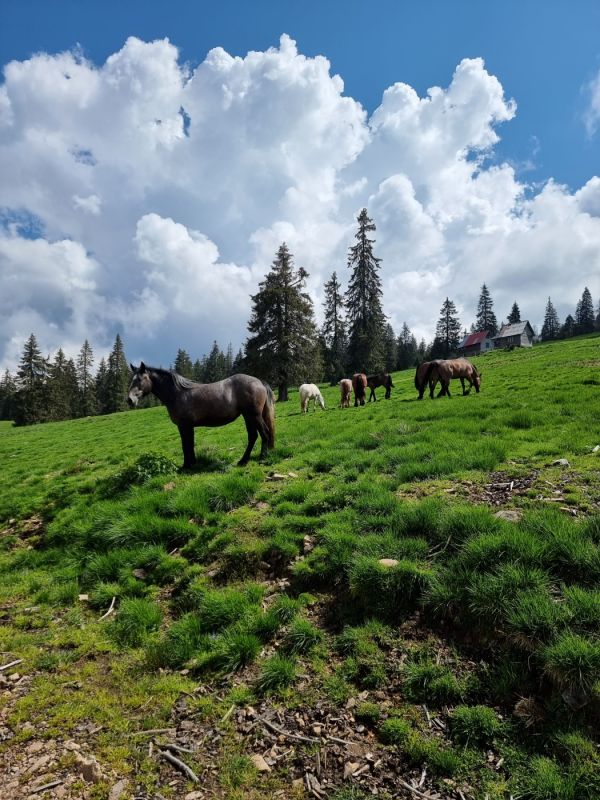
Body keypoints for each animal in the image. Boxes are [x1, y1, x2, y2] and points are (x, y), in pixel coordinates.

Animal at [127, 363, 275, 468]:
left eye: (139, 379)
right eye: (131, 380)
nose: (129, 400)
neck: (177, 394)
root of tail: (259, 382)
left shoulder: (184, 426)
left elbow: (185, 445)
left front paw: (186, 466)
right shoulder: (189, 426)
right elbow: (190, 444)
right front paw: (192, 463)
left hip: (254, 415)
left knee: (264, 433)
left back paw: (262, 457)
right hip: (248, 416)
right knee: (253, 436)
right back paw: (243, 461)